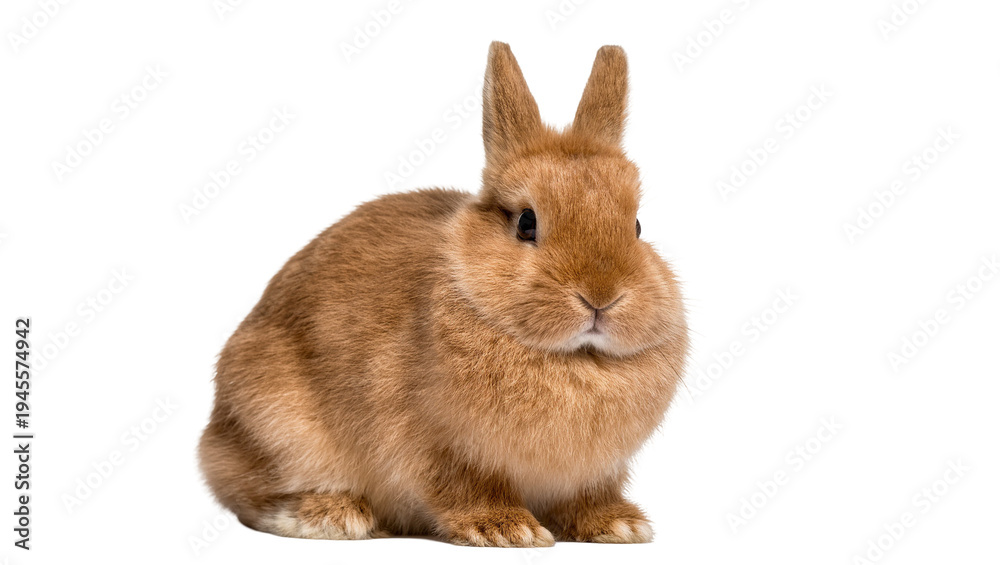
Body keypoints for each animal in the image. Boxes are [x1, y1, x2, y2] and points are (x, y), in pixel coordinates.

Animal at [198, 41, 688, 547]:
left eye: (636, 226)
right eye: (526, 223)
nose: (600, 296)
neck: (575, 359)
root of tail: (215, 434)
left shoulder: (593, 473)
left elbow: (587, 498)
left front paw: (620, 525)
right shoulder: (437, 447)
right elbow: (461, 488)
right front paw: (506, 529)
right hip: (275, 425)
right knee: (249, 495)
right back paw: (332, 515)